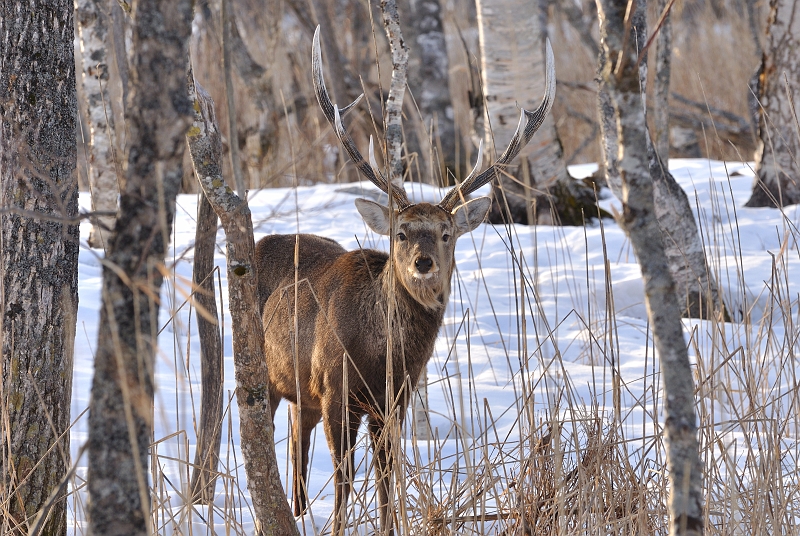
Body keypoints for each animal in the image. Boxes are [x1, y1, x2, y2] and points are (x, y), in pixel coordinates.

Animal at [256, 26, 556, 536]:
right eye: (401, 231)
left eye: (446, 232)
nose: (422, 263)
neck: (382, 355)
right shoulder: (337, 389)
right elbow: (344, 477)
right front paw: (337, 528)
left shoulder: (393, 401)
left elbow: (386, 474)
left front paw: (387, 525)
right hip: (260, 369)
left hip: (302, 394)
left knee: (297, 444)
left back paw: (295, 510)